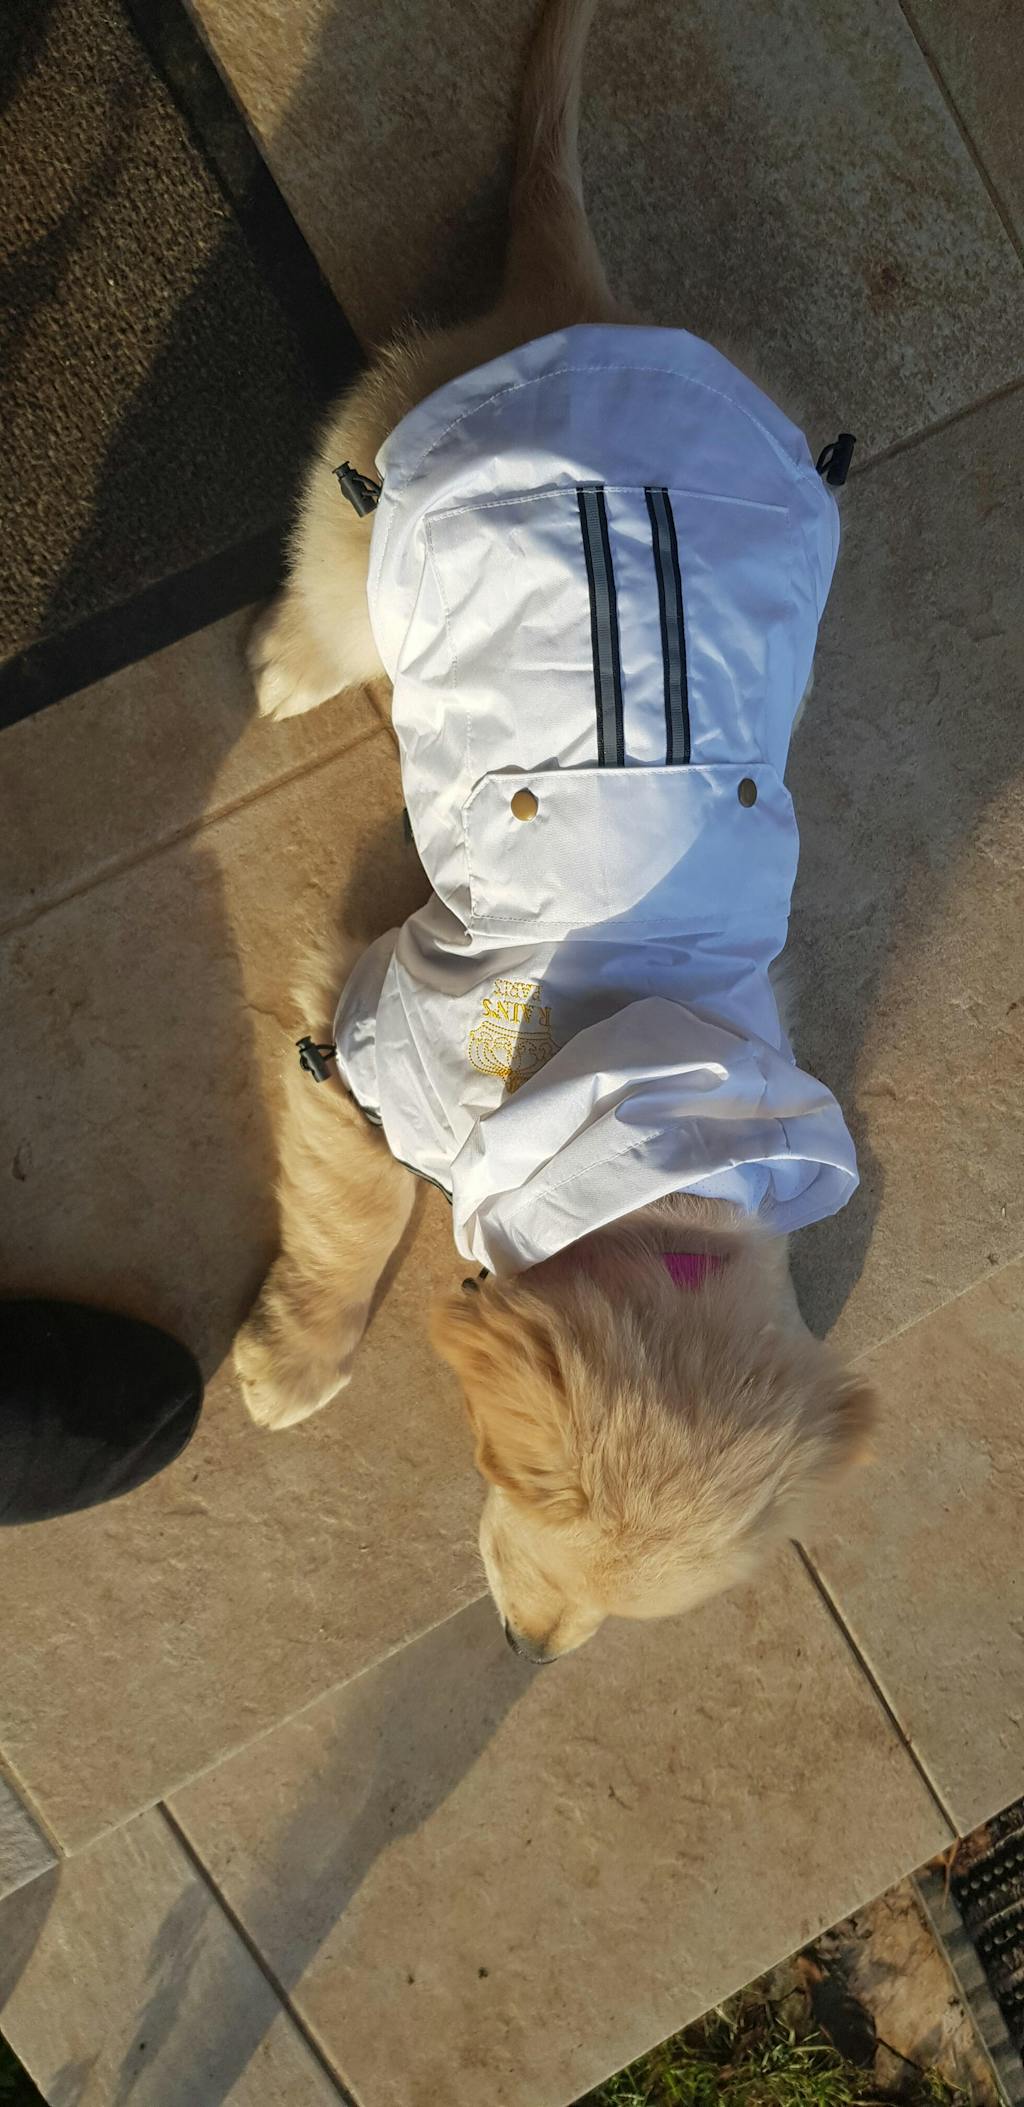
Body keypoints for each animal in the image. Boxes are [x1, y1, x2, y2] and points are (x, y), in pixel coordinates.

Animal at [234, 0, 875, 1663]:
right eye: (530, 1500)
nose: (528, 1649)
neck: (663, 1168)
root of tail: (582, 308)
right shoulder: (367, 1029)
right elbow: (360, 1205)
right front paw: (297, 1356)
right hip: (374, 500)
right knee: (326, 576)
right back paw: (297, 666)